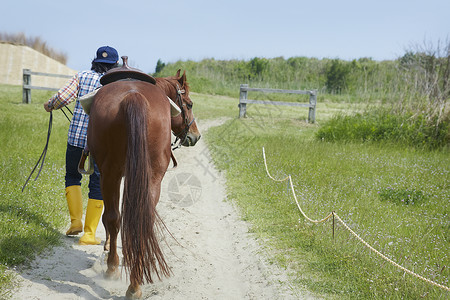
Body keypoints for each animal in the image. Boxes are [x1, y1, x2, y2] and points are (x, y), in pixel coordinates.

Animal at [87, 70, 200, 298]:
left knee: (114, 218)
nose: (196, 135)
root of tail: (133, 96)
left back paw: (116, 270)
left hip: (111, 174)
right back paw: (134, 284)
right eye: (189, 104)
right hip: (150, 177)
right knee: (139, 221)